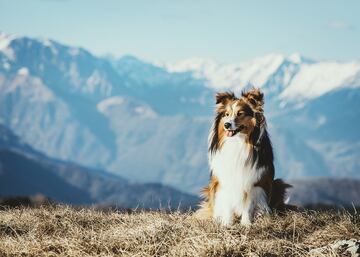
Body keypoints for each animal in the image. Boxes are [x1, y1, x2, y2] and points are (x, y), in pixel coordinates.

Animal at [195, 87, 292, 224]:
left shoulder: (253, 181)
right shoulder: (224, 181)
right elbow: (228, 204)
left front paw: (246, 223)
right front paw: (227, 223)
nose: (226, 125)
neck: (238, 142)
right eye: (226, 114)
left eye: (240, 113)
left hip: (278, 184)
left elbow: (248, 205)